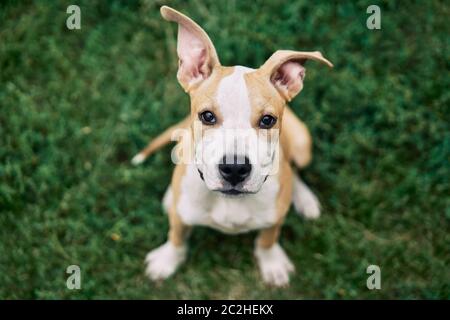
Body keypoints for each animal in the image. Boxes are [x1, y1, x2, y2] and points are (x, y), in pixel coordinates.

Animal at [132, 5, 332, 288]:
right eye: (207, 116)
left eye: (268, 120)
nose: (235, 169)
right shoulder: (181, 218)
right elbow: (177, 235)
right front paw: (167, 260)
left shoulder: (274, 219)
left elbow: (267, 239)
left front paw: (272, 263)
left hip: (303, 143)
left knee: (295, 168)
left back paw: (304, 198)